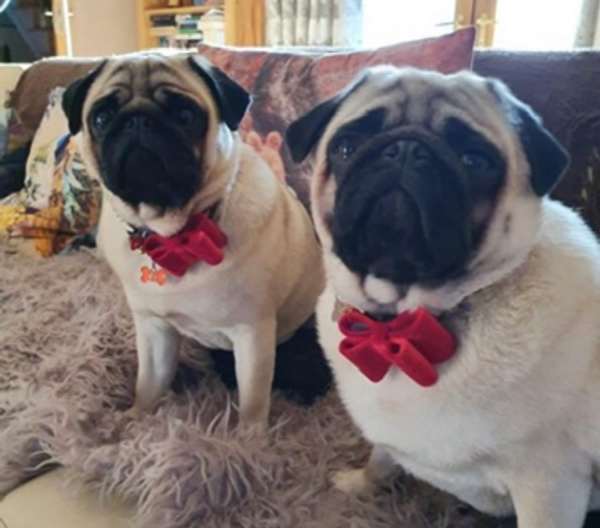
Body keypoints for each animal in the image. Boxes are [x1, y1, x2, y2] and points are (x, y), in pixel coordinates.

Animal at [61, 52, 324, 430]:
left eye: (185, 116)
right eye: (101, 117)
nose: (137, 121)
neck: (173, 235)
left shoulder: (253, 335)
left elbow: (253, 402)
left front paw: (250, 439)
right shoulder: (154, 329)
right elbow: (149, 383)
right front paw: (135, 420)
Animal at [286, 65, 600, 527]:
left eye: (475, 161)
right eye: (346, 147)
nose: (405, 149)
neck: (404, 320)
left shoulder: (549, 486)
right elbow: (382, 458)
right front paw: (361, 486)